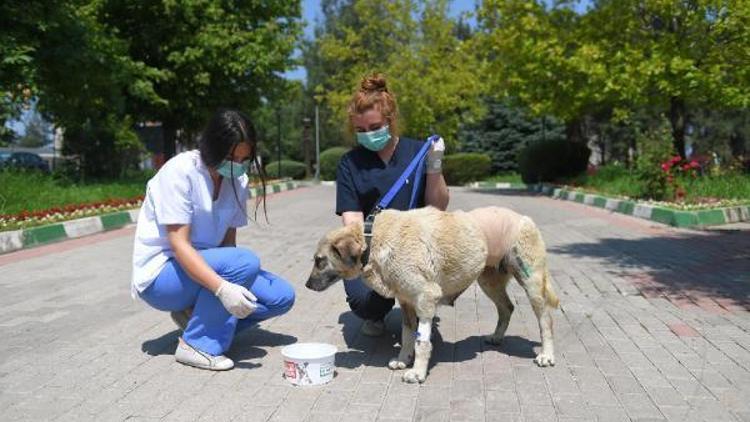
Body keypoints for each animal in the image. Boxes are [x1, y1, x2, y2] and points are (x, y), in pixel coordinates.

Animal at [304, 206, 560, 384]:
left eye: (319, 260)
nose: (306, 285)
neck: (373, 239)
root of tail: (524, 217)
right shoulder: (406, 302)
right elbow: (408, 335)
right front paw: (403, 359)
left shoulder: (426, 298)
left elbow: (422, 341)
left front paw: (417, 372)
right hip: (488, 280)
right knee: (507, 307)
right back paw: (497, 337)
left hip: (531, 282)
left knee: (546, 319)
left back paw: (546, 355)